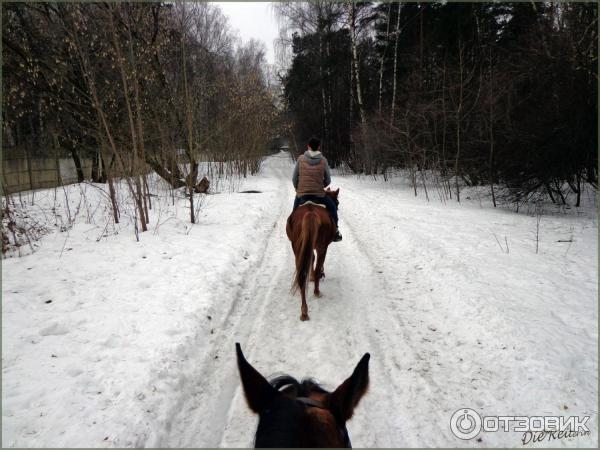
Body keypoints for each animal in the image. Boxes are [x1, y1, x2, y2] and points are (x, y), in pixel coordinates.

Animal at [284, 188, 338, 322]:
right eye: (337, 202)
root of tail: (310, 213)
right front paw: (316, 277)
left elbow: (311, 259)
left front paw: (312, 277)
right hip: (321, 246)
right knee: (318, 267)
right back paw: (317, 292)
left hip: (297, 246)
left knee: (301, 274)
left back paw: (304, 312)